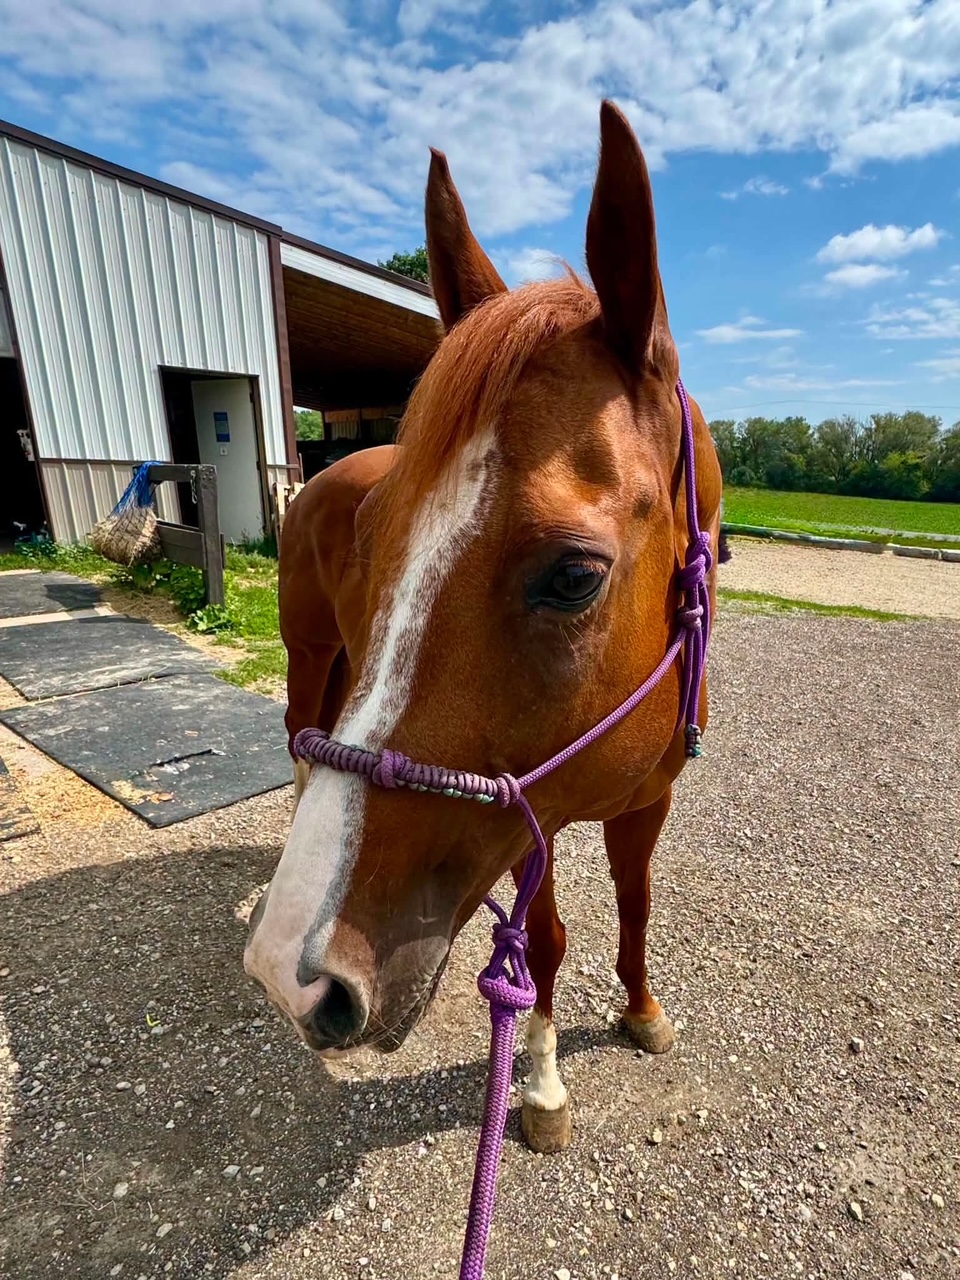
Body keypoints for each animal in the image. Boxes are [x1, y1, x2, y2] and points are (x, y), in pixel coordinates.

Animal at [244, 100, 723, 1155]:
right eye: (375, 535)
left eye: (575, 576)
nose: (294, 972)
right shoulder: (534, 811)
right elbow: (544, 940)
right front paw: (538, 1082)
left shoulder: (644, 799)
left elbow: (635, 906)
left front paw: (641, 1010)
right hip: (311, 651)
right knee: (298, 738)